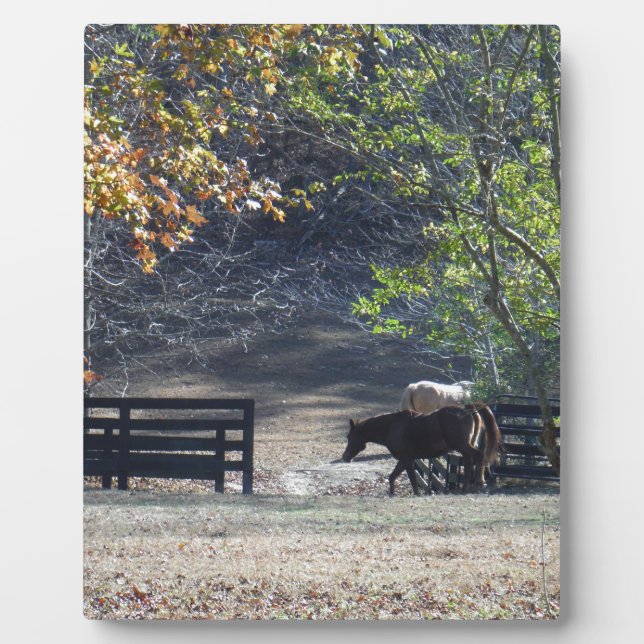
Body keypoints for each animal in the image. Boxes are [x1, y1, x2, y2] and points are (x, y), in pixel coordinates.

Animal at [341, 404, 502, 496]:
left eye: (349, 436)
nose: (345, 456)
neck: (391, 426)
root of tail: (468, 410)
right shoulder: (404, 459)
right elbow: (392, 477)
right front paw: (392, 494)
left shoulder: (406, 459)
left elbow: (412, 479)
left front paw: (416, 495)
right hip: (465, 447)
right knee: (469, 463)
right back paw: (464, 490)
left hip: (462, 445)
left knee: (479, 456)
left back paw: (480, 483)